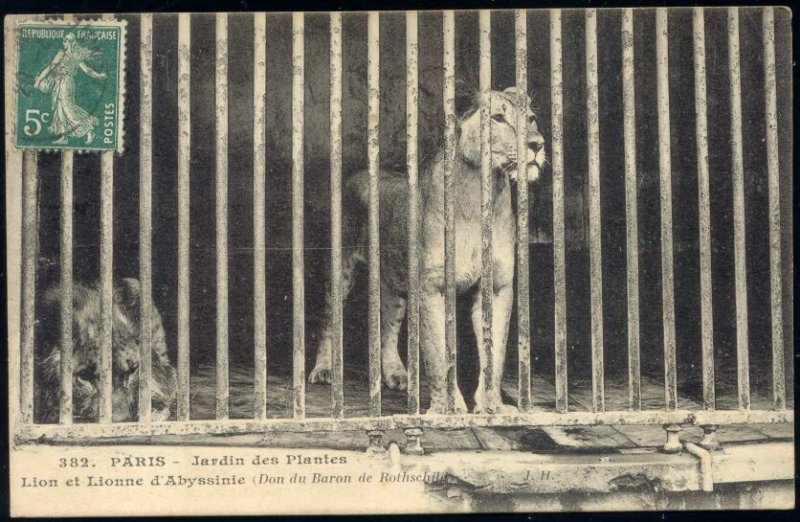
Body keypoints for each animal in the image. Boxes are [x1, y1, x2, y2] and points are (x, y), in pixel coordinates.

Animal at [310, 85, 548, 412]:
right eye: (498, 118)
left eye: (532, 118)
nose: (537, 144)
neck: (479, 198)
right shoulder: (432, 288)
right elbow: (438, 355)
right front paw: (447, 409)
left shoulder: (497, 287)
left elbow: (494, 353)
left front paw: (492, 406)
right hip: (341, 270)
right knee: (328, 319)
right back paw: (324, 369)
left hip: (395, 283)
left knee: (388, 326)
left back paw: (396, 373)